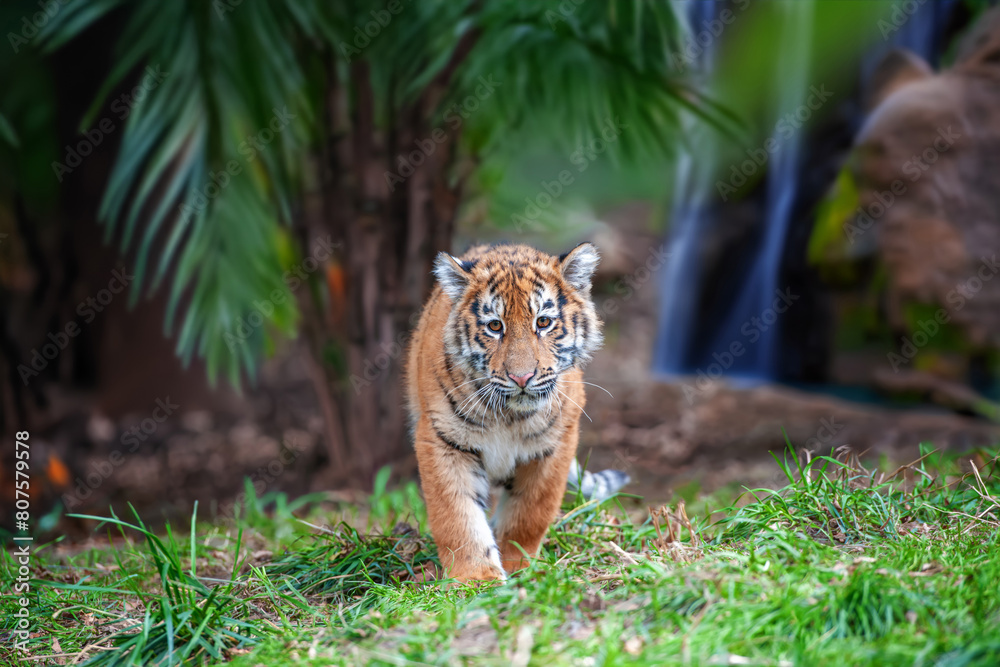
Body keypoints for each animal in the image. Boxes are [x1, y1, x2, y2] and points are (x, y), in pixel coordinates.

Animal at [405, 242, 627, 583]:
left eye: (544, 322)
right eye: (495, 326)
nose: (522, 378)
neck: (508, 415)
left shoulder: (554, 445)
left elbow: (529, 514)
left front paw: (518, 568)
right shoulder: (442, 441)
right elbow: (456, 516)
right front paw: (475, 578)